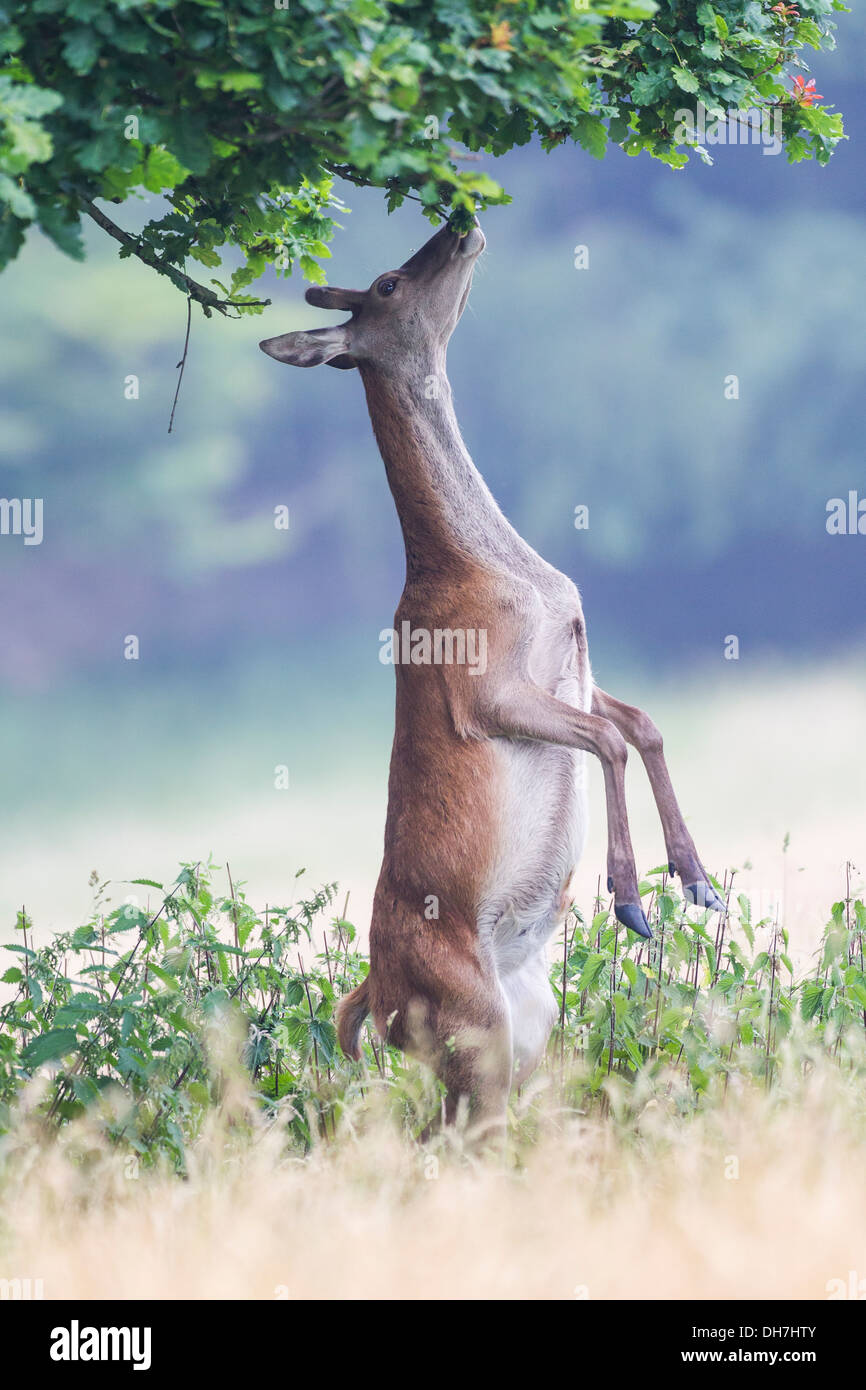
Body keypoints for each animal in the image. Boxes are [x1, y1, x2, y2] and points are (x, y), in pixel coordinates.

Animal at [258, 222, 722, 1145]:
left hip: (526, 1023)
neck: (505, 576)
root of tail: (371, 997)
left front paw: (697, 881)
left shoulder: (578, 668)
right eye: (389, 282)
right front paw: (630, 901)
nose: (462, 225)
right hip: (468, 1020)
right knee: (455, 1134)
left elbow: (644, 723)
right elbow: (610, 739)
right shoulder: (486, 690)